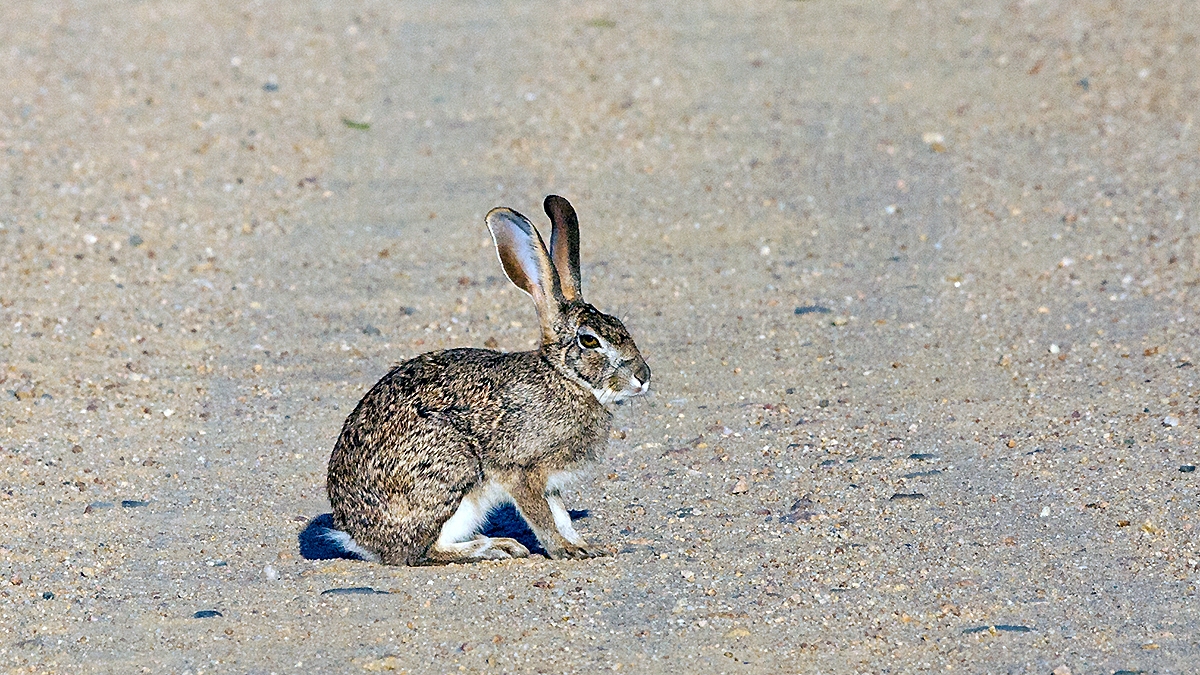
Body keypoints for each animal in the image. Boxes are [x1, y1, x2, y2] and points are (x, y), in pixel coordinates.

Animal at [324, 195, 651, 565]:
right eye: (590, 341)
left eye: (619, 326)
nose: (643, 377)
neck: (565, 379)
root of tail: (357, 536)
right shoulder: (522, 470)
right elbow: (543, 516)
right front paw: (563, 550)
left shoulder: (550, 481)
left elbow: (562, 514)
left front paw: (583, 546)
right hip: (454, 477)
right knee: (423, 551)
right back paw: (497, 547)